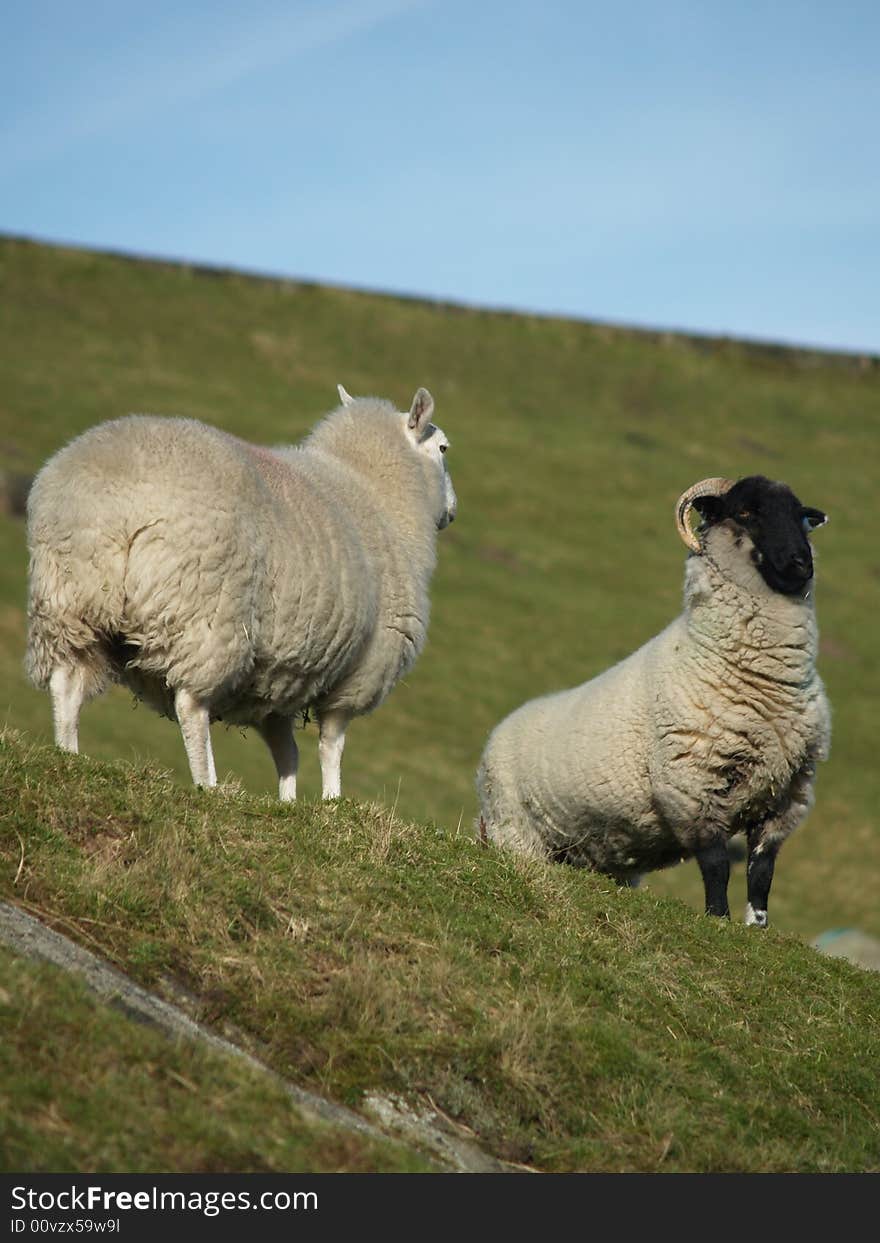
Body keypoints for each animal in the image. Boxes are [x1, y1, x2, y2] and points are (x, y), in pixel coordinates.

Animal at [26, 382, 457, 800]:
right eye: (443, 449)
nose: (452, 511)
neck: (376, 492)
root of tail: (115, 505)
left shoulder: (280, 678)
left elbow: (287, 750)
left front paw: (288, 803)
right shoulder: (362, 671)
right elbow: (331, 744)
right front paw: (332, 803)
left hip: (72, 601)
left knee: (66, 681)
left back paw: (68, 754)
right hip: (206, 615)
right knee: (190, 704)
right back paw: (208, 784)